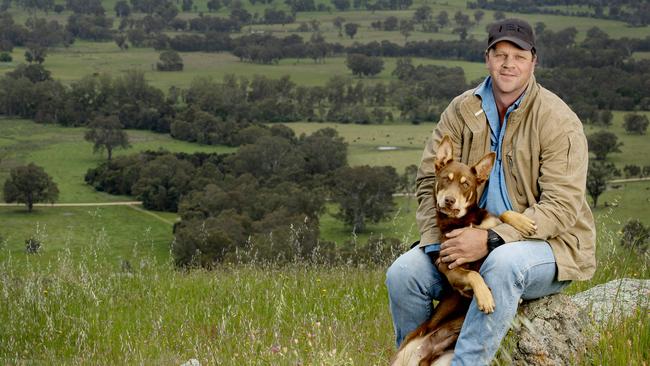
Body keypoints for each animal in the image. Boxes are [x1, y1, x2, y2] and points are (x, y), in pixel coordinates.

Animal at [388, 136, 536, 364]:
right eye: (445, 179)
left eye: (466, 184)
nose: (449, 200)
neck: (462, 222)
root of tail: (425, 352)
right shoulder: (453, 269)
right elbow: (474, 274)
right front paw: (484, 297)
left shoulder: (490, 226)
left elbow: (503, 214)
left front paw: (522, 222)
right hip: (404, 356)